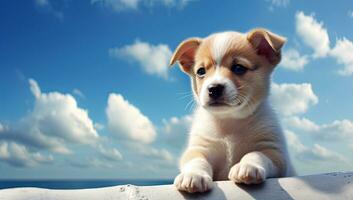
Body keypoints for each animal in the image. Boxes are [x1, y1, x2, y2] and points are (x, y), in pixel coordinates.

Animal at [169, 28, 296, 193]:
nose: (214, 88)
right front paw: (193, 175)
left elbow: (255, 153)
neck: (229, 121)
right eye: (201, 71)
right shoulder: (199, 149)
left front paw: (247, 166)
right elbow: (197, 161)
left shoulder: (274, 152)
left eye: (239, 68)